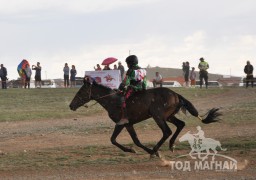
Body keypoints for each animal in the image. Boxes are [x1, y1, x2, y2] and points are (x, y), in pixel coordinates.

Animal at [69, 76, 221, 157]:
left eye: (81, 92)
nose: (71, 105)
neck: (113, 100)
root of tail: (176, 94)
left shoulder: (121, 123)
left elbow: (115, 139)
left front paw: (135, 150)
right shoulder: (128, 124)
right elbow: (133, 140)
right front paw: (133, 149)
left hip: (158, 116)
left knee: (167, 131)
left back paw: (155, 150)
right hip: (168, 116)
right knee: (180, 125)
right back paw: (170, 145)